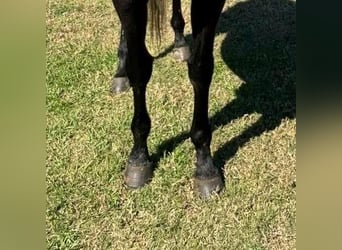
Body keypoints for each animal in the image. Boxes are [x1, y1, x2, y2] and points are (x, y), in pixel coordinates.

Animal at [111, 0, 226, 198]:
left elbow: (200, 69)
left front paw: (205, 167)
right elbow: (139, 67)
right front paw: (139, 157)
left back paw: (180, 43)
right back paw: (120, 72)